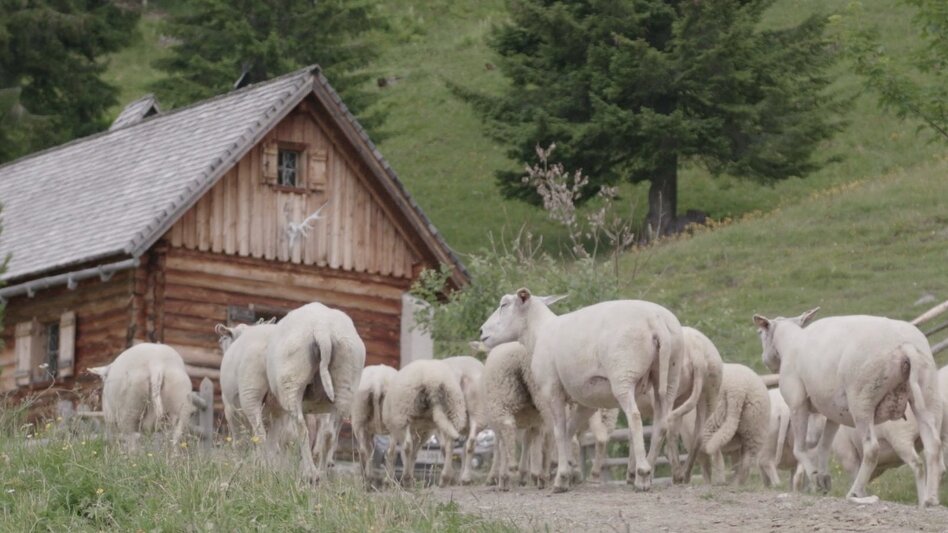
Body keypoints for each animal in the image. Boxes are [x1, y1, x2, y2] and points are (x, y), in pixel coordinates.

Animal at [265, 302, 366, 485]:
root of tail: (322, 329)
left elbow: (290, 437)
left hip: (291, 381)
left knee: (301, 428)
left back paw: (310, 474)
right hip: (346, 383)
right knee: (329, 434)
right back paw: (322, 474)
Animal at [381, 358, 467, 487]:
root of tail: (432, 381)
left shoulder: (396, 428)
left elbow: (394, 452)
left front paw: (391, 480)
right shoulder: (423, 432)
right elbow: (413, 454)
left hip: (404, 413)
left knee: (407, 446)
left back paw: (406, 478)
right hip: (454, 410)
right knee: (449, 445)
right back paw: (445, 478)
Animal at [441, 355, 488, 485]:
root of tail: (463, 373)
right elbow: (462, 450)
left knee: (450, 444)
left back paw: (446, 477)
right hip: (478, 410)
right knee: (470, 443)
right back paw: (465, 477)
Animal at [480, 288, 684, 492]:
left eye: (504, 304)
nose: (481, 331)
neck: (538, 333)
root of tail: (656, 320)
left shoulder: (551, 390)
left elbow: (559, 431)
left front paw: (561, 477)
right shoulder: (587, 401)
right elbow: (569, 430)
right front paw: (568, 469)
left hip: (623, 375)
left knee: (634, 417)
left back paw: (642, 474)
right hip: (670, 376)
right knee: (661, 424)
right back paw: (648, 473)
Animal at [754, 309, 942, 506]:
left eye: (760, 333)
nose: (765, 360)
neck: (790, 342)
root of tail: (905, 346)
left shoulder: (797, 402)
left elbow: (800, 449)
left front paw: (814, 476)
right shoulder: (832, 412)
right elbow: (823, 446)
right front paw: (823, 479)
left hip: (862, 400)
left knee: (872, 449)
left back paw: (855, 492)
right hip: (927, 395)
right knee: (933, 446)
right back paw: (930, 499)